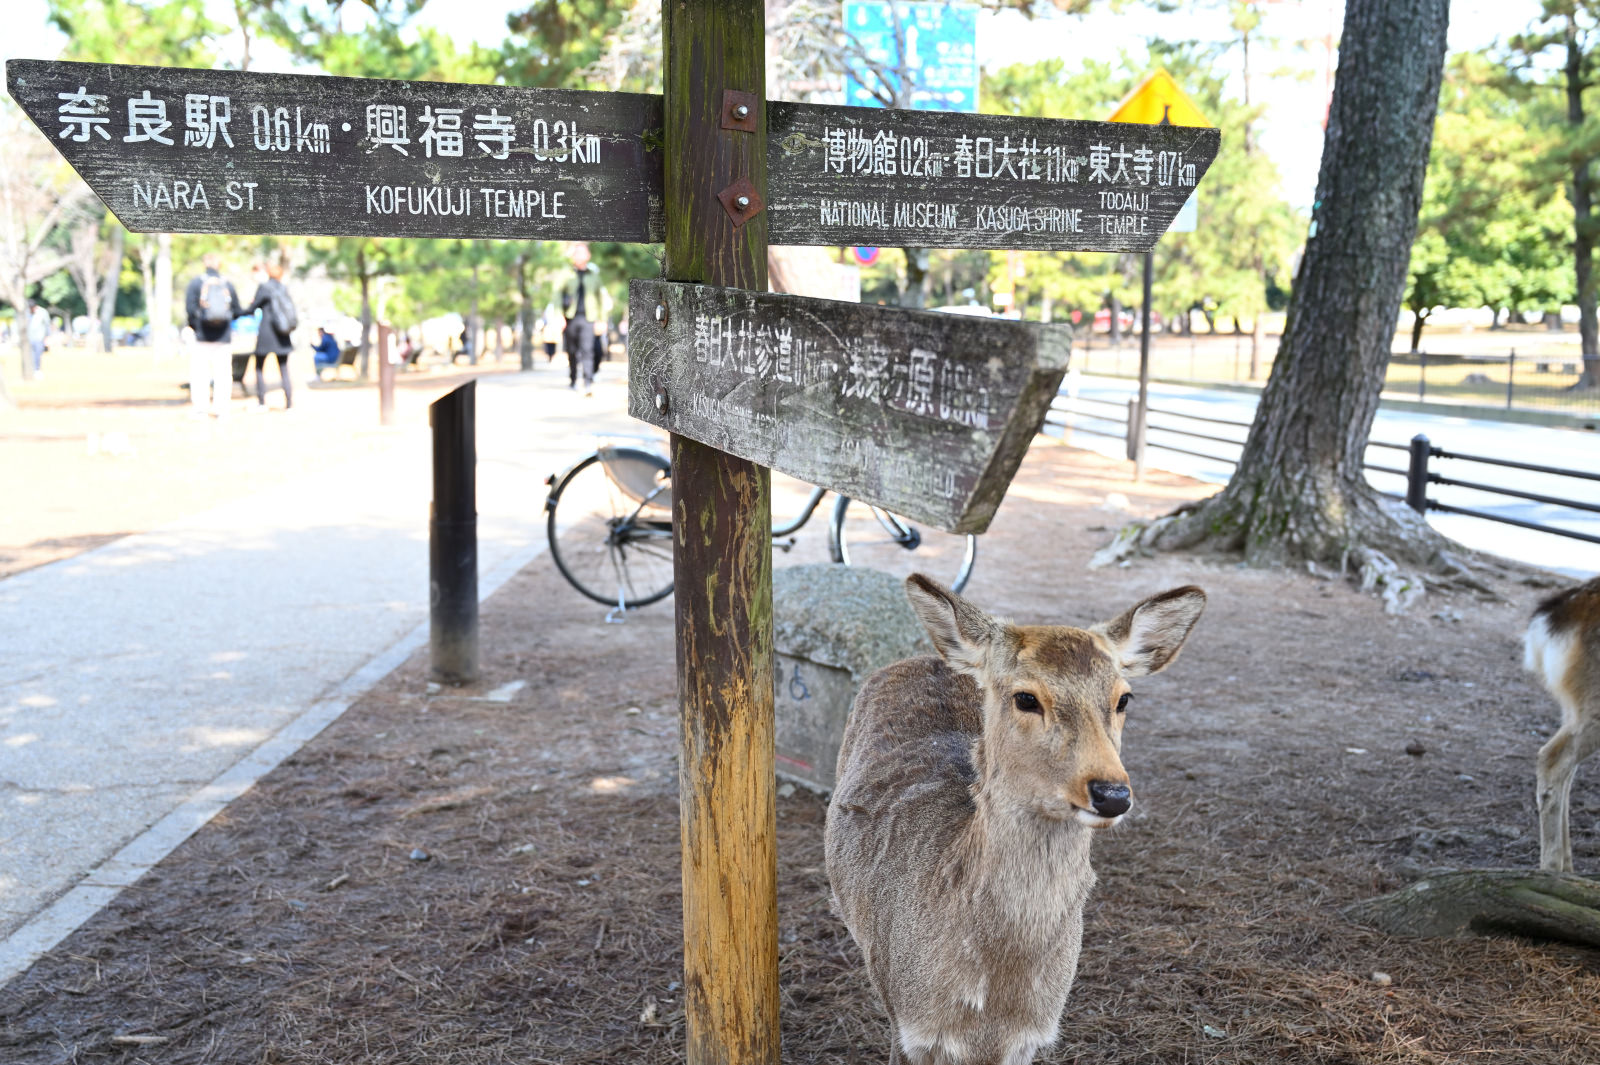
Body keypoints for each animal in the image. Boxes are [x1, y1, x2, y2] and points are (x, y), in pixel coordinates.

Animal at [825, 574, 1206, 1065]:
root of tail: (929, 656)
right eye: (1026, 698)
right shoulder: (909, 1027)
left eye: (1124, 698)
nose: (1112, 794)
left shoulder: (1029, 1038)